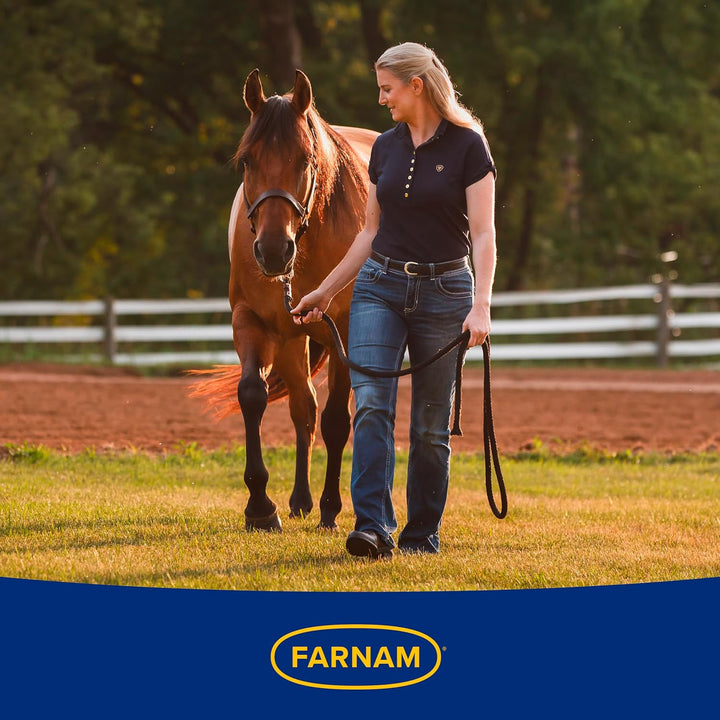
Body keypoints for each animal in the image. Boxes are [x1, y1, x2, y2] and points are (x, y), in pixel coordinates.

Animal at [191, 69, 378, 532]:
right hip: (294, 341)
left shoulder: (344, 331)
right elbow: (252, 396)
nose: (274, 251)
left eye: (305, 160)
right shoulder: (252, 322)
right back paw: (299, 499)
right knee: (302, 409)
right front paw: (260, 506)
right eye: (246, 160)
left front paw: (331, 509)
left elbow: (337, 421)